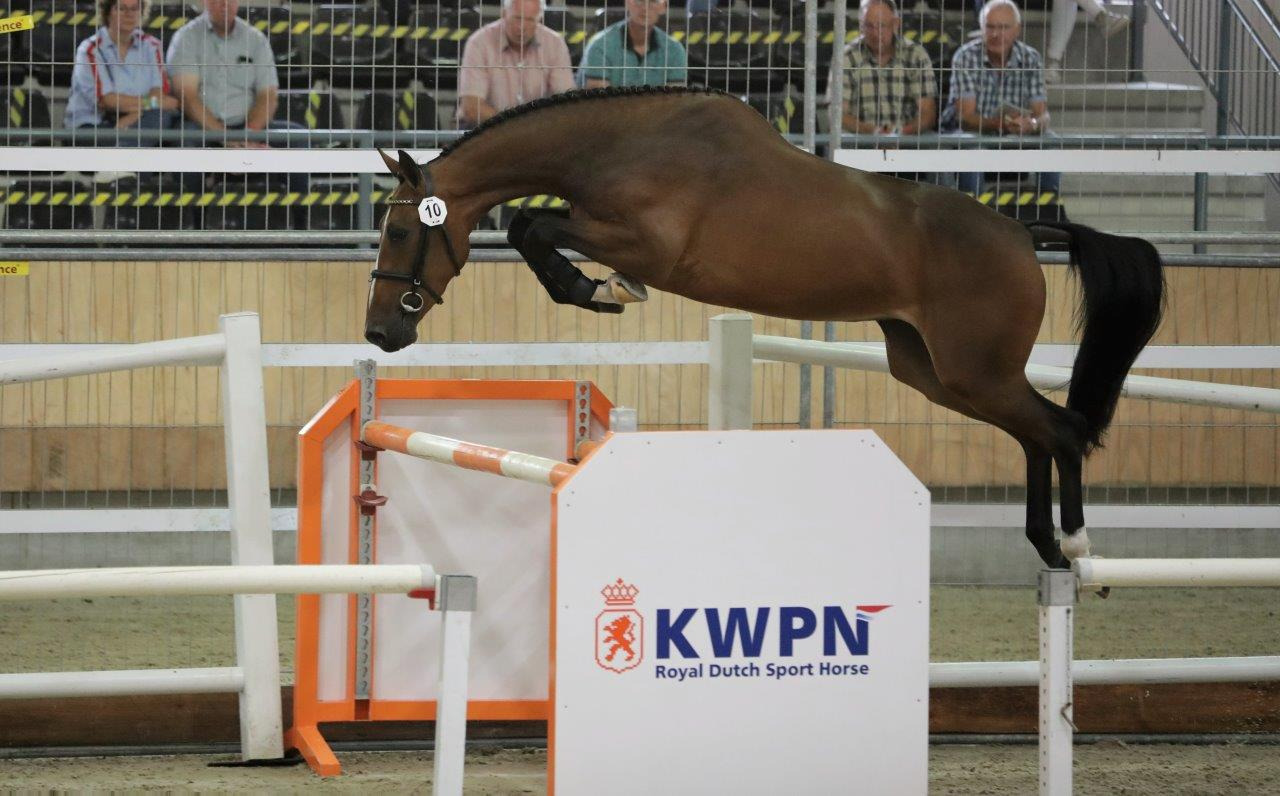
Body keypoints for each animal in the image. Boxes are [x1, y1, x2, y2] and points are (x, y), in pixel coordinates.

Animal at [364, 85, 1165, 570]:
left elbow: (534, 226)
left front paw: (595, 290)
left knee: (1060, 429)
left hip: (975, 370)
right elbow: (531, 226)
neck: (623, 145)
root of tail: (1024, 233)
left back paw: (1075, 547)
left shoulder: (647, 243)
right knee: (1038, 433)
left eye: (401, 231)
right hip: (933, 371)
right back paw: (1046, 545)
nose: (379, 333)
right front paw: (597, 288)